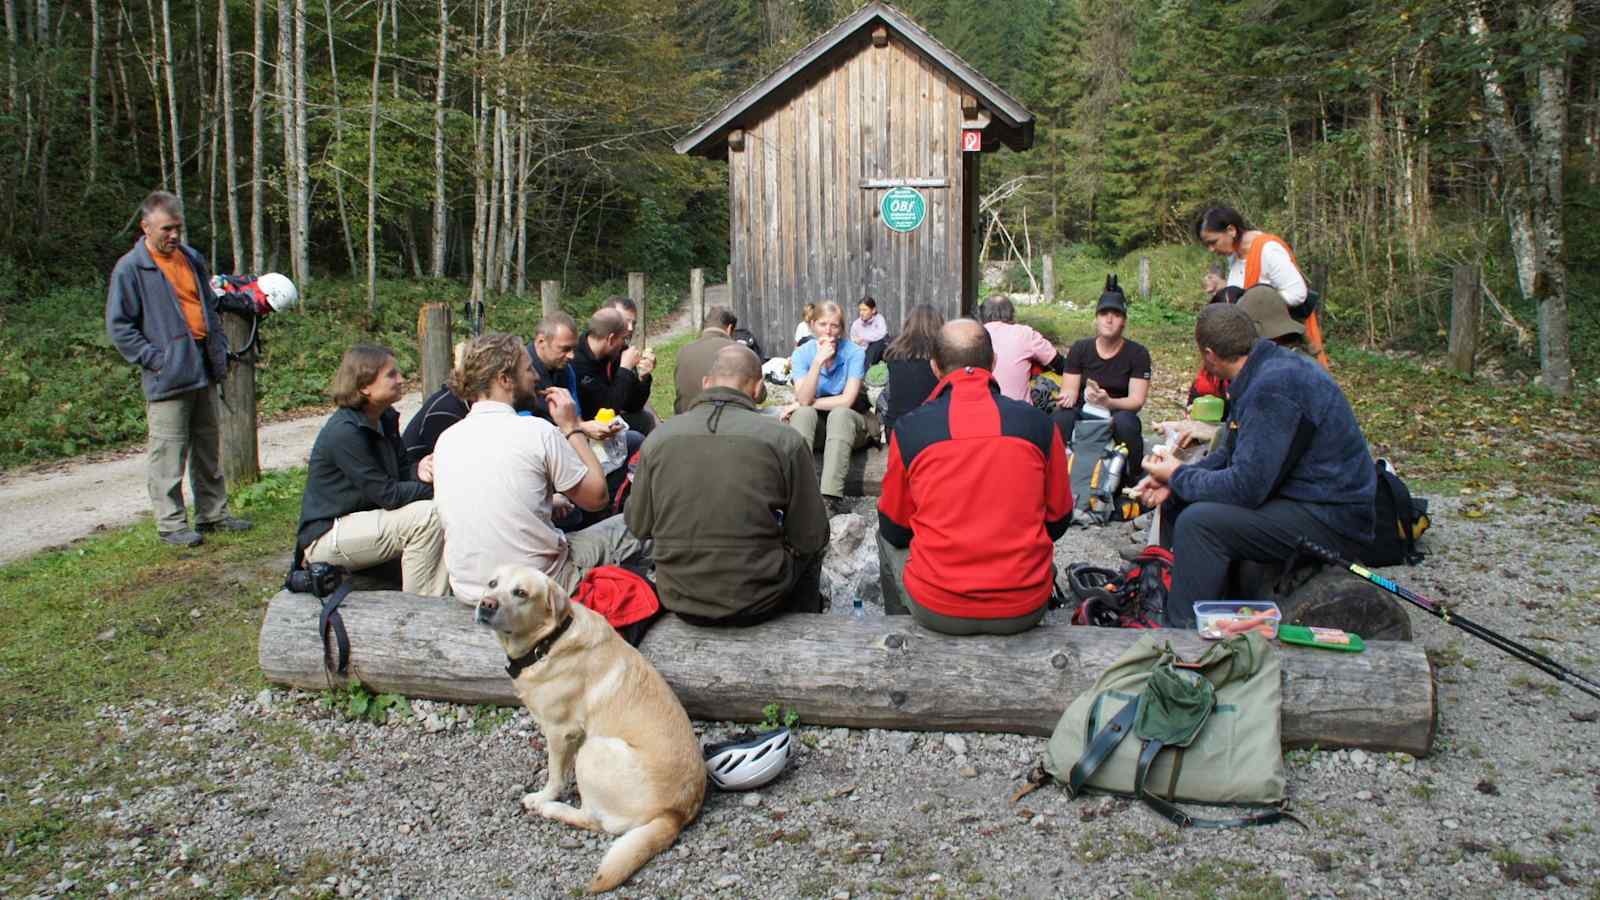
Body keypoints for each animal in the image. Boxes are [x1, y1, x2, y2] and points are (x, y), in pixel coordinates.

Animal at [470, 563, 704, 883]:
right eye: (492, 583)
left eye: (521, 593)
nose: (487, 604)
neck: (549, 641)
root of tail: (676, 813)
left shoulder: (560, 732)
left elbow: (556, 776)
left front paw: (544, 795)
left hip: (594, 751)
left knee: (593, 820)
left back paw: (548, 807)